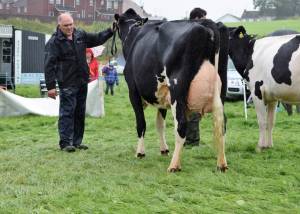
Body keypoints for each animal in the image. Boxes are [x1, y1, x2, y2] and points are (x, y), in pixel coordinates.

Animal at [115, 8, 227, 172]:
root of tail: (205, 24)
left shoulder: (133, 91)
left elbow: (141, 123)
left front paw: (140, 152)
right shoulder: (162, 95)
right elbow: (160, 124)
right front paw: (164, 149)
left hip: (177, 90)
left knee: (181, 125)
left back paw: (174, 165)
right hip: (219, 92)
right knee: (221, 124)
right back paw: (221, 164)